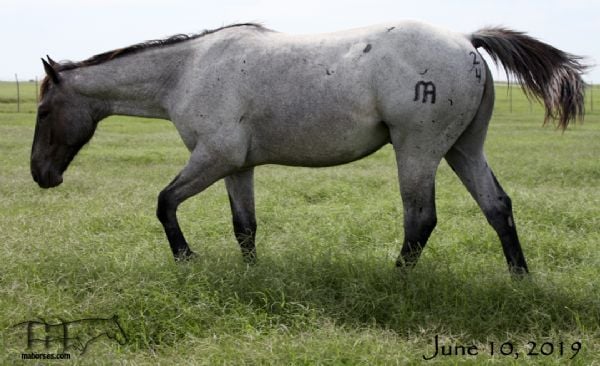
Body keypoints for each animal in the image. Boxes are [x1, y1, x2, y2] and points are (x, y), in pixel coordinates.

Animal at [29, 20, 584, 274]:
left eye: (42, 112)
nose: (40, 174)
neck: (187, 70)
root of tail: (468, 40)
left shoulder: (213, 157)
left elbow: (165, 203)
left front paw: (187, 259)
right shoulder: (237, 166)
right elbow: (244, 226)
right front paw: (250, 274)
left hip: (418, 151)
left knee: (421, 220)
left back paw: (396, 279)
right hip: (463, 150)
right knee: (497, 207)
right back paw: (519, 277)